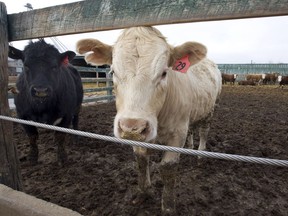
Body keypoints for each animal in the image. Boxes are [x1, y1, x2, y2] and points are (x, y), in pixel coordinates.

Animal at [75, 25, 222, 214]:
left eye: (164, 73)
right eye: (113, 71)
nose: (131, 127)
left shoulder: (177, 134)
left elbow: (168, 168)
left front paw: (168, 207)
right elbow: (141, 160)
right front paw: (144, 193)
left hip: (210, 110)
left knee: (204, 131)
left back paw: (200, 155)